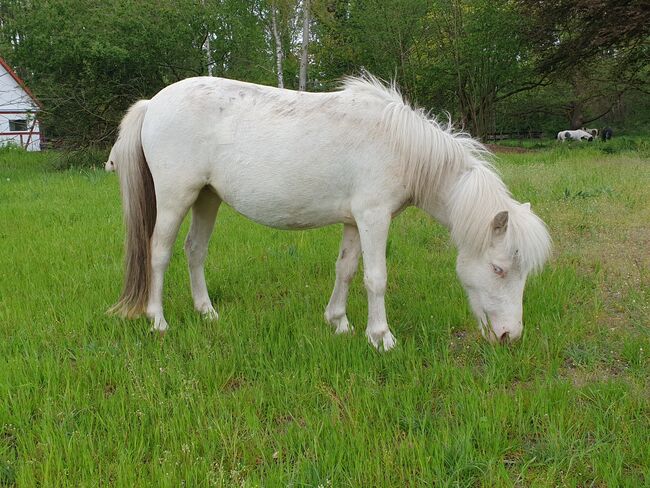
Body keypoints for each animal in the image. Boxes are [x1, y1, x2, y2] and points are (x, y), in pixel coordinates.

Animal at [109, 75, 548, 350]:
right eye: (499, 269)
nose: (510, 336)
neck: (400, 144)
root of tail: (153, 103)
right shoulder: (374, 217)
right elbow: (375, 278)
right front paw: (381, 337)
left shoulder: (354, 221)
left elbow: (346, 270)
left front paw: (339, 322)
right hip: (175, 197)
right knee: (159, 253)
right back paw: (158, 321)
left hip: (206, 198)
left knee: (195, 251)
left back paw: (207, 313)